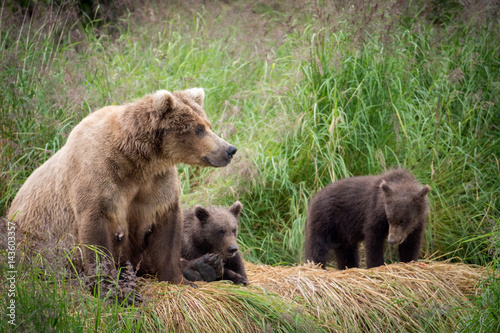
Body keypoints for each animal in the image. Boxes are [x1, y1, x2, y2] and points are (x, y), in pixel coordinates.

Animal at [5, 88, 236, 288]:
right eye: (198, 129)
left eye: (208, 124)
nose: (230, 149)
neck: (136, 161)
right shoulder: (98, 177)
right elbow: (96, 232)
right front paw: (111, 288)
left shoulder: (157, 183)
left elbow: (167, 229)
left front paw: (181, 278)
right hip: (35, 240)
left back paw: (205, 266)